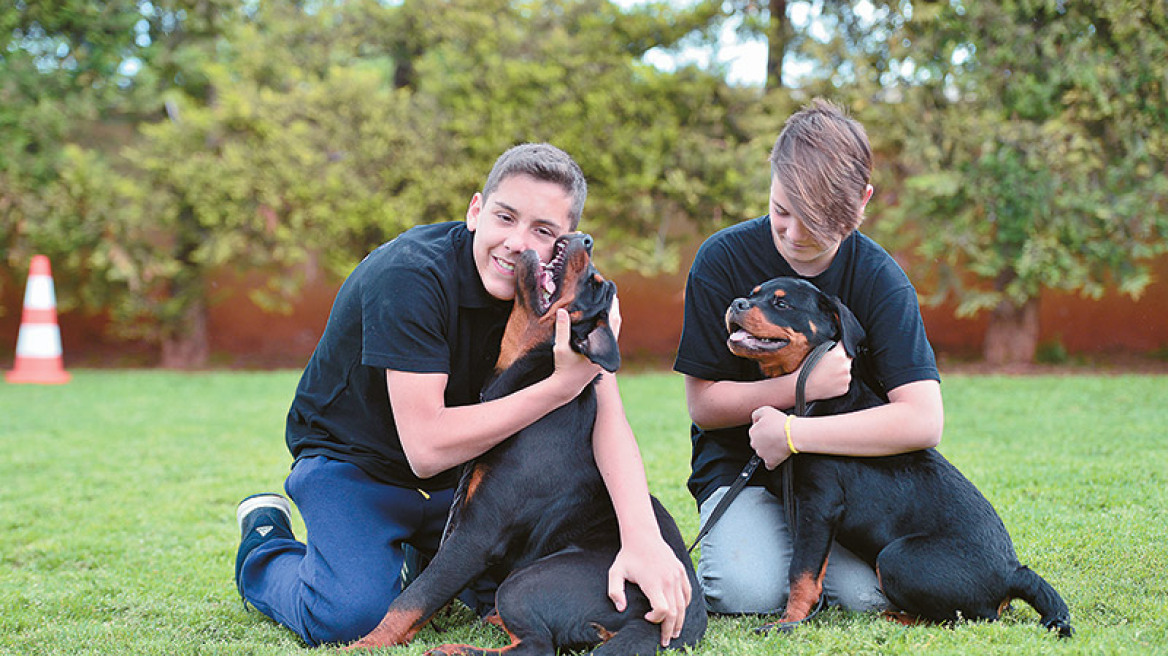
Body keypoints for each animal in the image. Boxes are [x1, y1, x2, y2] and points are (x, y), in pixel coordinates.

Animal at [350, 232, 705, 648]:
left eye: (595, 284)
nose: (586, 237)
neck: (531, 374)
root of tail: (667, 627)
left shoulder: (476, 535)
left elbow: (414, 597)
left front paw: (360, 646)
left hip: (523, 582)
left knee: (537, 644)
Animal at [724, 274, 1069, 634]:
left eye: (781, 303)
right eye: (752, 294)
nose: (736, 304)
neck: (809, 401)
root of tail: (1013, 573)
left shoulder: (819, 504)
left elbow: (802, 571)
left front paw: (789, 621)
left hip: (897, 556)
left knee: (968, 617)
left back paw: (897, 616)